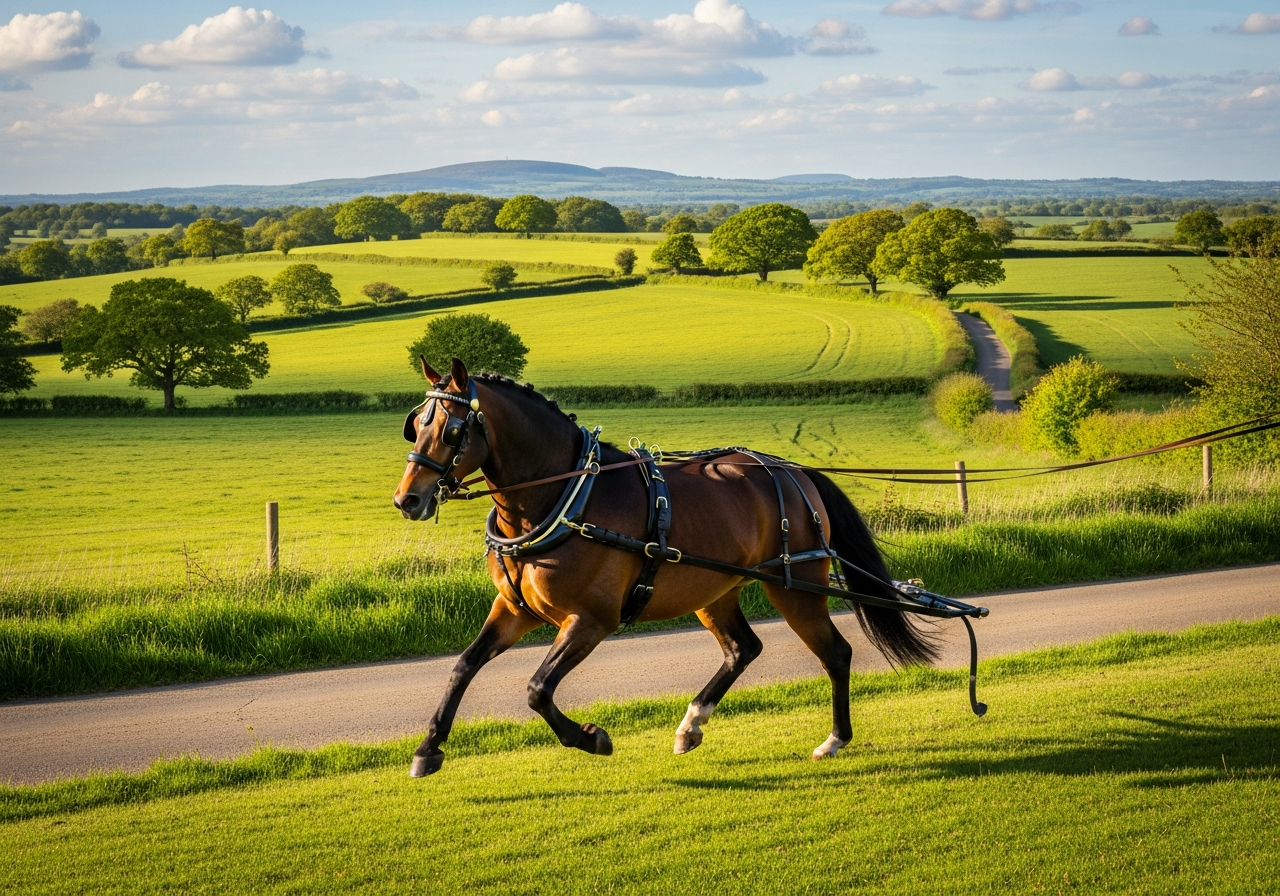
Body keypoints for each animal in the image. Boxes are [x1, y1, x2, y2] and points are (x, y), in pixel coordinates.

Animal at [392, 357, 937, 778]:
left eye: (453, 429)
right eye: (416, 425)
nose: (407, 500)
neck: (566, 495)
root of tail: (794, 471)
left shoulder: (591, 620)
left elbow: (537, 690)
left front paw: (592, 738)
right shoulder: (514, 609)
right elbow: (464, 666)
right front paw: (428, 748)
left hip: (797, 587)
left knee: (836, 653)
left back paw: (834, 739)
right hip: (715, 591)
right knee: (744, 649)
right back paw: (691, 724)